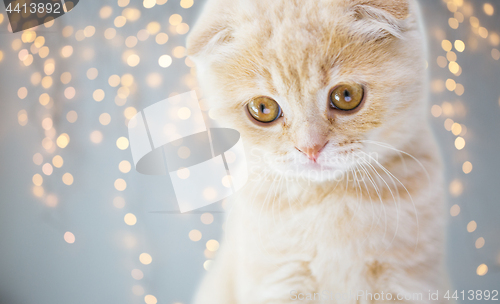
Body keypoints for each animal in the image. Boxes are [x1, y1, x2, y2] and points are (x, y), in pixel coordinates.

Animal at [188, 0, 450, 304]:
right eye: (263, 108)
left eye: (346, 95)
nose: (310, 147)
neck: (332, 200)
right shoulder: (277, 283)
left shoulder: (410, 283)